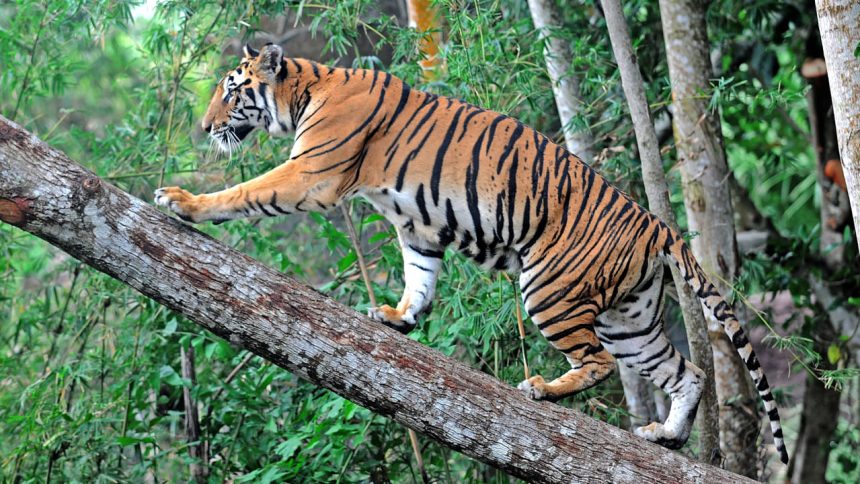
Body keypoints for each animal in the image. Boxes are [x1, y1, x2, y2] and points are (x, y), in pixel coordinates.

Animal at [154, 43, 788, 464]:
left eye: (231, 90)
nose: (204, 126)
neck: (307, 89)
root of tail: (656, 223)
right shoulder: (417, 225)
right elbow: (419, 275)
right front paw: (399, 317)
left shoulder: (311, 174)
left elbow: (245, 192)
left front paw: (184, 202)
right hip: (628, 318)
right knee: (686, 372)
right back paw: (668, 436)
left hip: (550, 289)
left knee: (600, 364)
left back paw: (544, 389)